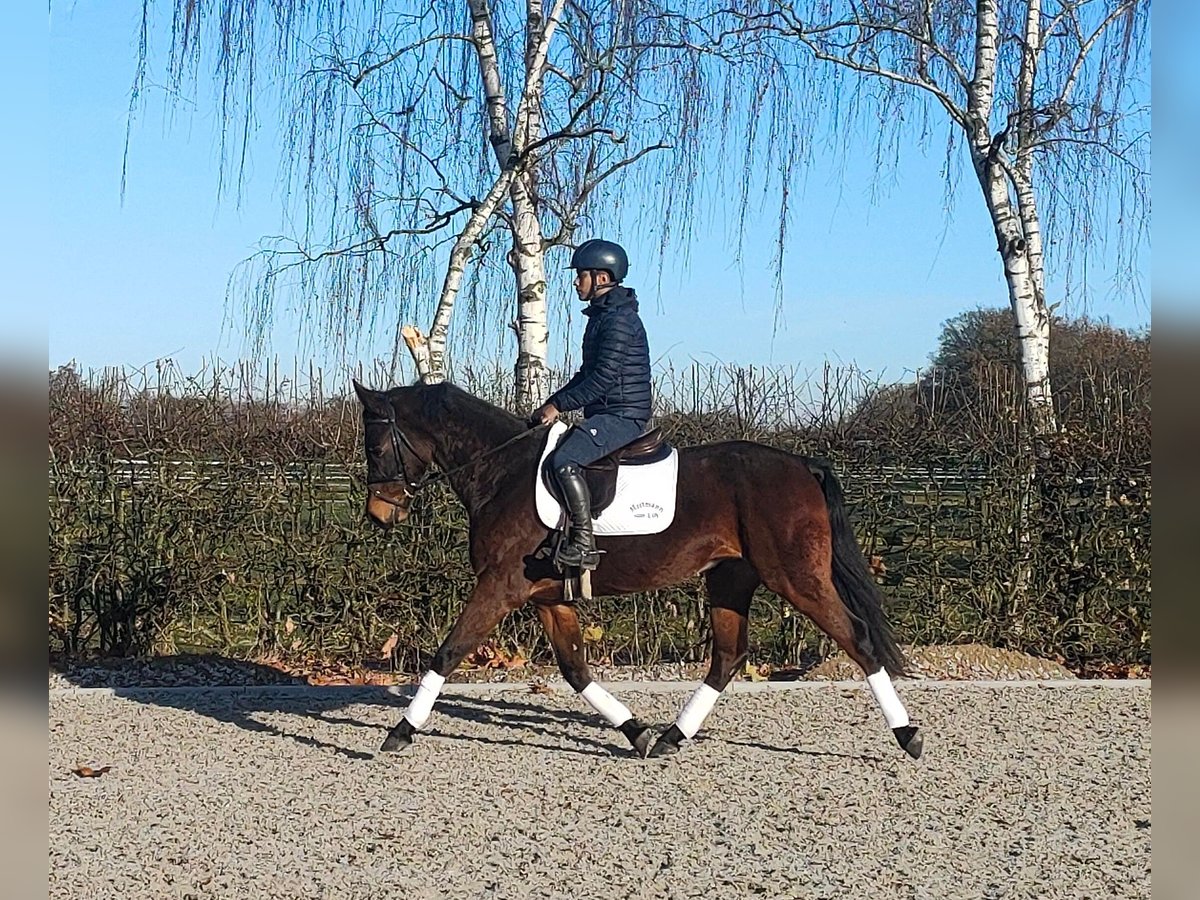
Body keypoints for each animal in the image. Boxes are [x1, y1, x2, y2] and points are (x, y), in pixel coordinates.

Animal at [350, 381, 921, 763]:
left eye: (375, 445)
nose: (380, 514)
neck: (501, 471)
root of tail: (803, 464)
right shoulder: (547, 597)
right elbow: (575, 670)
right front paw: (635, 732)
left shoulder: (499, 587)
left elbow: (448, 653)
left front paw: (400, 731)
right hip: (730, 578)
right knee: (728, 657)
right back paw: (671, 738)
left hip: (796, 578)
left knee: (857, 638)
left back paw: (908, 737)